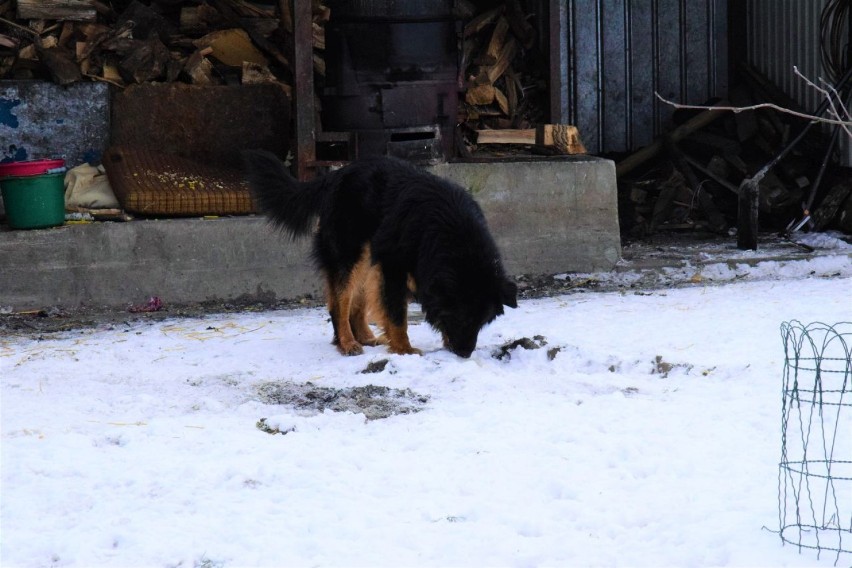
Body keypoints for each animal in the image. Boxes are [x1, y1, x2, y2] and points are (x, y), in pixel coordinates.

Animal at [243, 149, 516, 358]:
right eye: (462, 318)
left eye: (482, 322)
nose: (465, 354)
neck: (453, 234)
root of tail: (336, 175)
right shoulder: (393, 266)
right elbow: (396, 315)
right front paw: (405, 350)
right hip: (351, 253)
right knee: (339, 303)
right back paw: (347, 343)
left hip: (368, 257)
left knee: (356, 301)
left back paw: (364, 337)